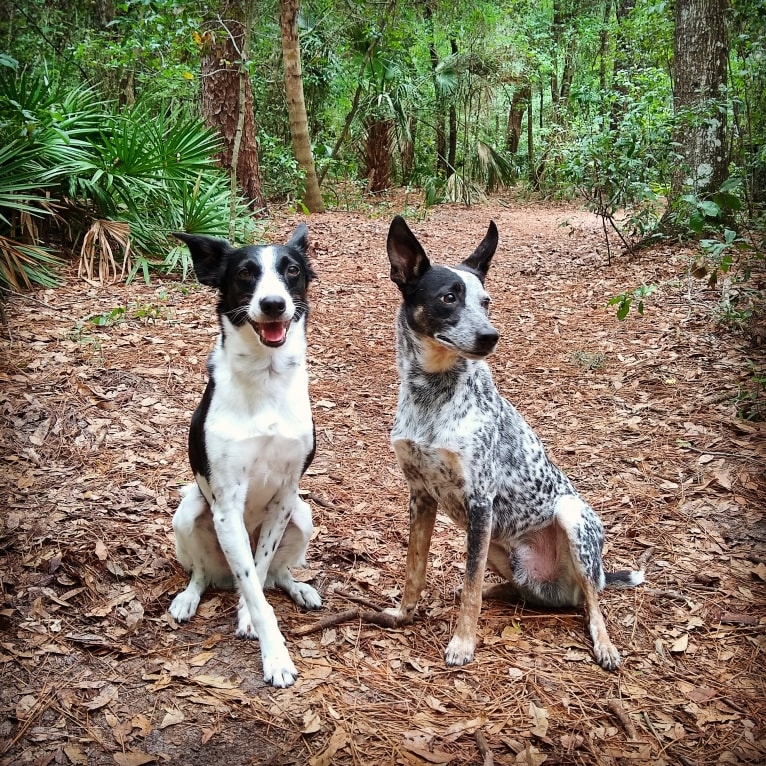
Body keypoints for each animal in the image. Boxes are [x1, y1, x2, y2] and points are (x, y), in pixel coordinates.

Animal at [170, 225, 322, 688]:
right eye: (244, 273)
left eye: (291, 270)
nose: (273, 304)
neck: (265, 377)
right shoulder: (227, 507)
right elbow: (253, 589)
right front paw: (275, 657)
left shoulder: (286, 496)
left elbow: (259, 570)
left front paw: (249, 620)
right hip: (189, 512)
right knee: (203, 574)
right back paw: (188, 599)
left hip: (303, 515)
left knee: (275, 574)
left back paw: (300, 587)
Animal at [382, 216, 640, 672]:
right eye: (449, 297)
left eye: (486, 302)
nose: (490, 336)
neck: (431, 396)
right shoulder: (420, 495)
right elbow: (415, 567)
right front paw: (403, 613)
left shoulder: (480, 501)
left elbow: (469, 580)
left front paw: (463, 642)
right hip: (500, 547)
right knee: (518, 588)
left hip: (569, 518)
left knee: (593, 603)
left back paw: (605, 644)